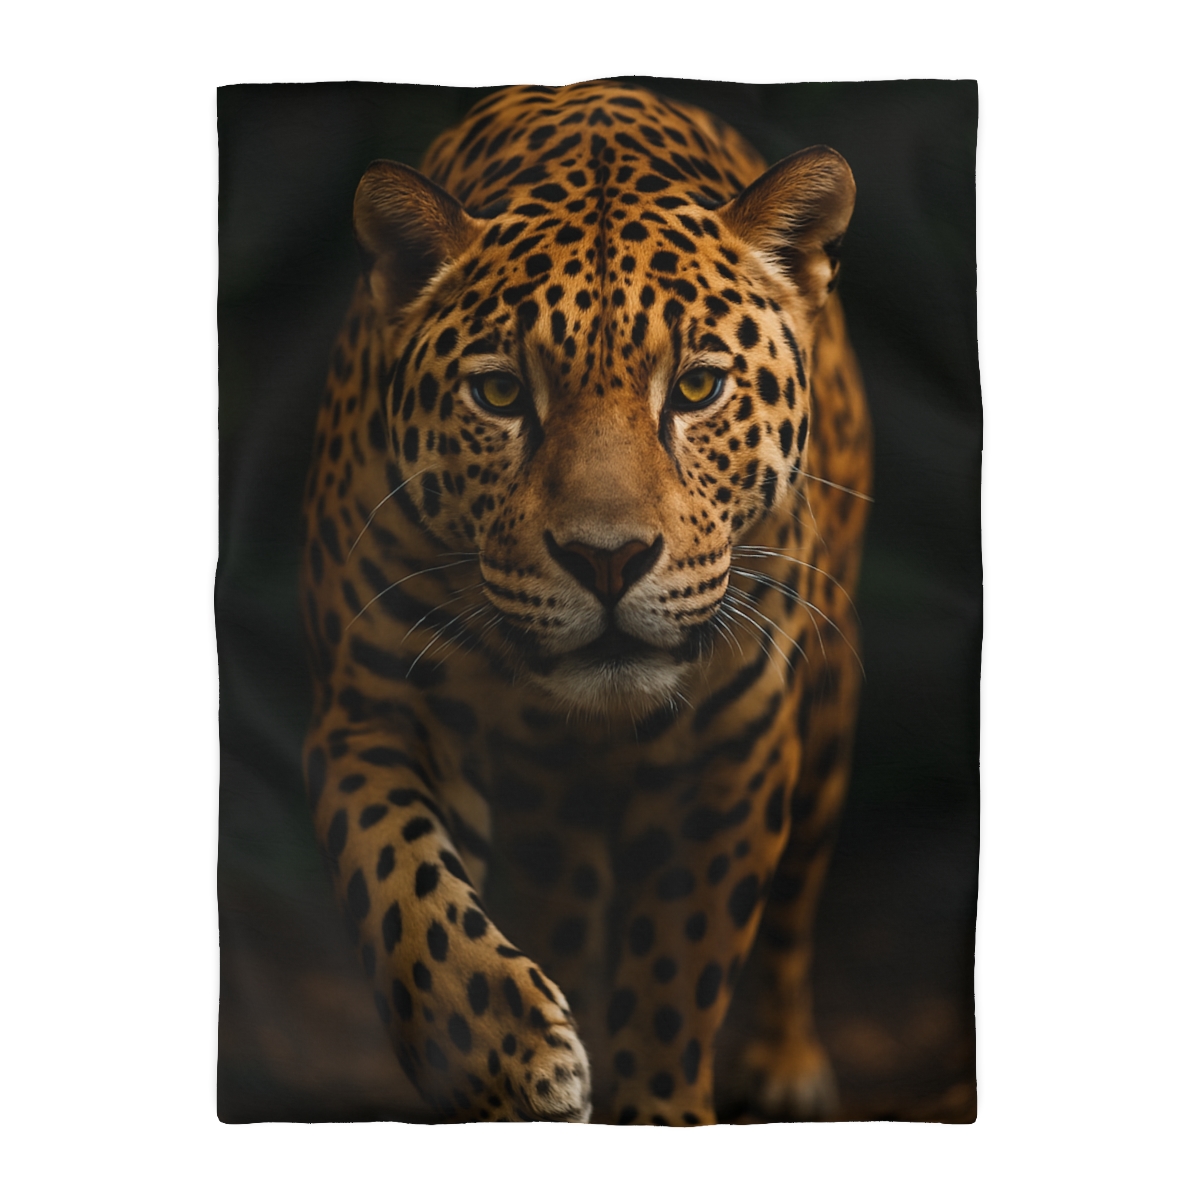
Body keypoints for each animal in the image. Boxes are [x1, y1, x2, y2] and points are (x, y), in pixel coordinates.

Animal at [299, 80, 871, 1125]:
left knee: (796, 902)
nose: (608, 561)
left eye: (698, 386)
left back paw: (786, 1063)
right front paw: (516, 1061)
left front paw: (660, 1110)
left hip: (826, 728)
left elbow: (679, 978)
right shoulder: (370, 711)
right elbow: (403, 893)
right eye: (498, 394)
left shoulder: (732, 751)